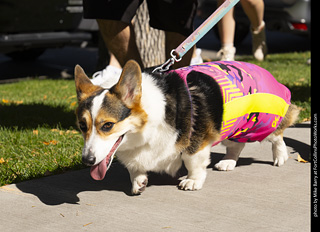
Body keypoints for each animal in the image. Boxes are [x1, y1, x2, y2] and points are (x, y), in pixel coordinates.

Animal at [75, 59, 300, 194]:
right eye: (82, 125)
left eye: (107, 125)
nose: (87, 160)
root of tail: (264, 70)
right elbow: (135, 167)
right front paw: (138, 181)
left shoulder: (197, 139)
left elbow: (193, 161)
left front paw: (192, 181)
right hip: (232, 123)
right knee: (236, 145)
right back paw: (228, 162)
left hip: (260, 121)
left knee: (278, 135)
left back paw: (280, 156)